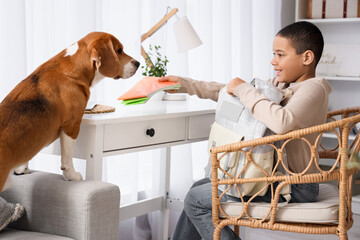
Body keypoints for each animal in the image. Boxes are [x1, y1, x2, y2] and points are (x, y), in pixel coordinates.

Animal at [0, 31, 139, 191]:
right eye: (119, 50)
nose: (138, 63)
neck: (73, 69)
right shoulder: (72, 126)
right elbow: (67, 157)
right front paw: (71, 176)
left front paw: (21, 169)